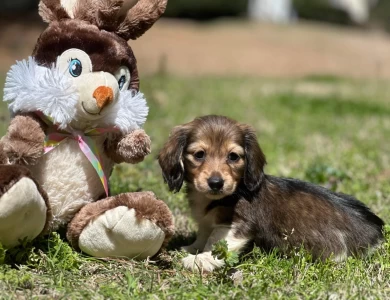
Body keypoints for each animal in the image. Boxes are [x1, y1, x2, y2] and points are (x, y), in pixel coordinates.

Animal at [158, 115, 384, 272]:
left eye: (233, 157)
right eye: (199, 154)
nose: (216, 183)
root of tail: (377, 231)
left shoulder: (236, 225)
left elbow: (216, 243)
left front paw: (200, 260)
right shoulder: (207, 221)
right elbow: (204, 234)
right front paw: (192, 248)